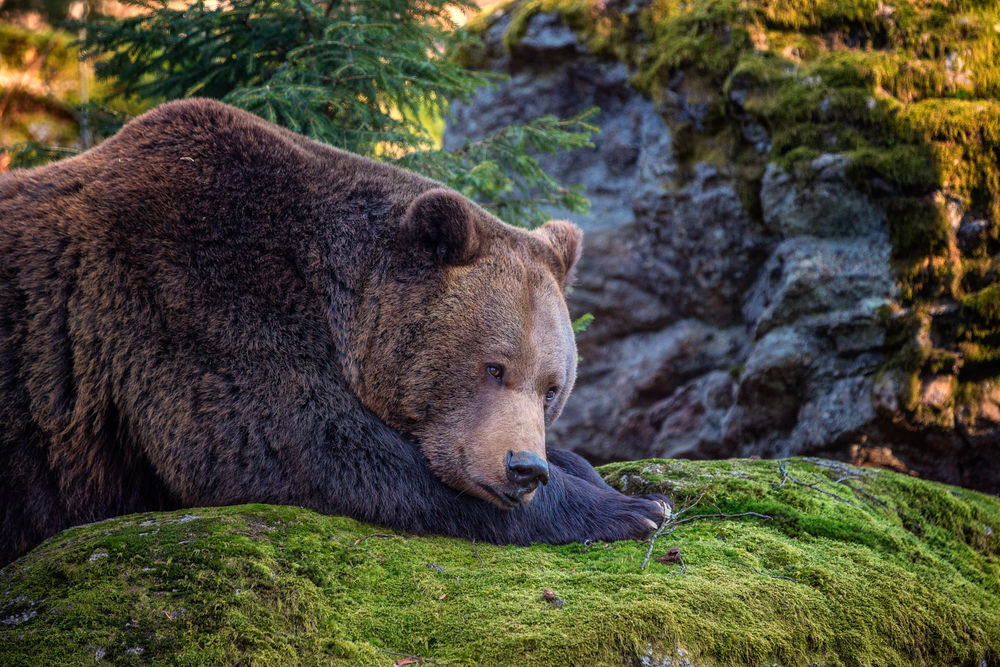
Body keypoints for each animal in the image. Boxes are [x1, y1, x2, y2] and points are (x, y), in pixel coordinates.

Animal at [0, 99, 668, 565]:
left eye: (552, 388)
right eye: (493, 367)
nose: (523, 468)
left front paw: (599, 476)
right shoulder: (194, 288)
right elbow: (299, 444)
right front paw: (631, 508)